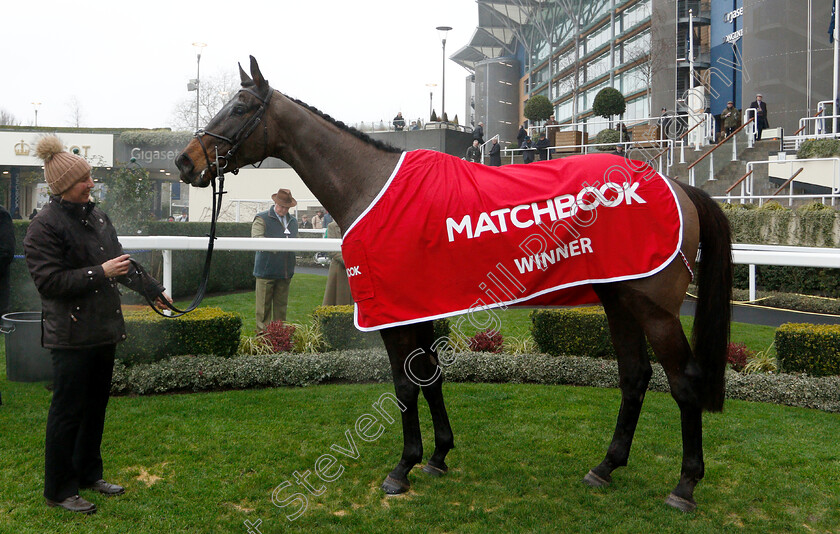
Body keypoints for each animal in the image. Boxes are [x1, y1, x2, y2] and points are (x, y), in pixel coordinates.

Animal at [176, 56, 728, 512]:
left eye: (240, 106)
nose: (186, 161)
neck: (370, 185)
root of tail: (677, 183)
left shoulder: (392, 311)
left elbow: (404, 385)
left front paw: (403, 467)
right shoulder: (419, 305)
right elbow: (430, 376)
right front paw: (438, 455)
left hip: (655, 310)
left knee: (684, 382)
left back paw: (684, 487)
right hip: (619, 300)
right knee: (634, 377)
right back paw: (605, 466)